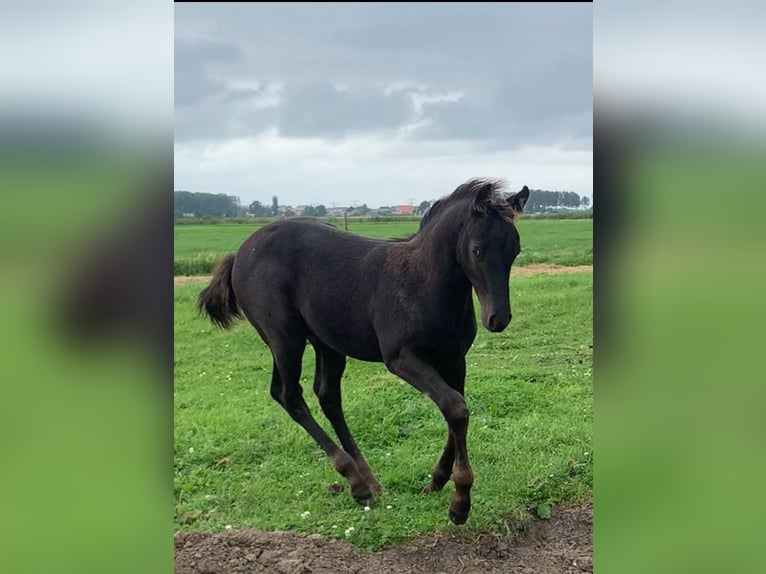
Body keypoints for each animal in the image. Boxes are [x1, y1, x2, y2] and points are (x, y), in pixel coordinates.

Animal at [201, 180, 532, 528]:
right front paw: (460, 503)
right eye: (477, 250)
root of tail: (240, 254)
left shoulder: (455, 359)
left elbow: (457, 409)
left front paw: (438, 480)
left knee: (327, 396)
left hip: (327, 343)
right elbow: (455, 407)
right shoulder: (402, 359)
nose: (498, 319)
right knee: (289, 395)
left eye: (515, 250)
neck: (425, 283)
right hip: (284, 338)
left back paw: (369, 480)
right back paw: (355, 481)